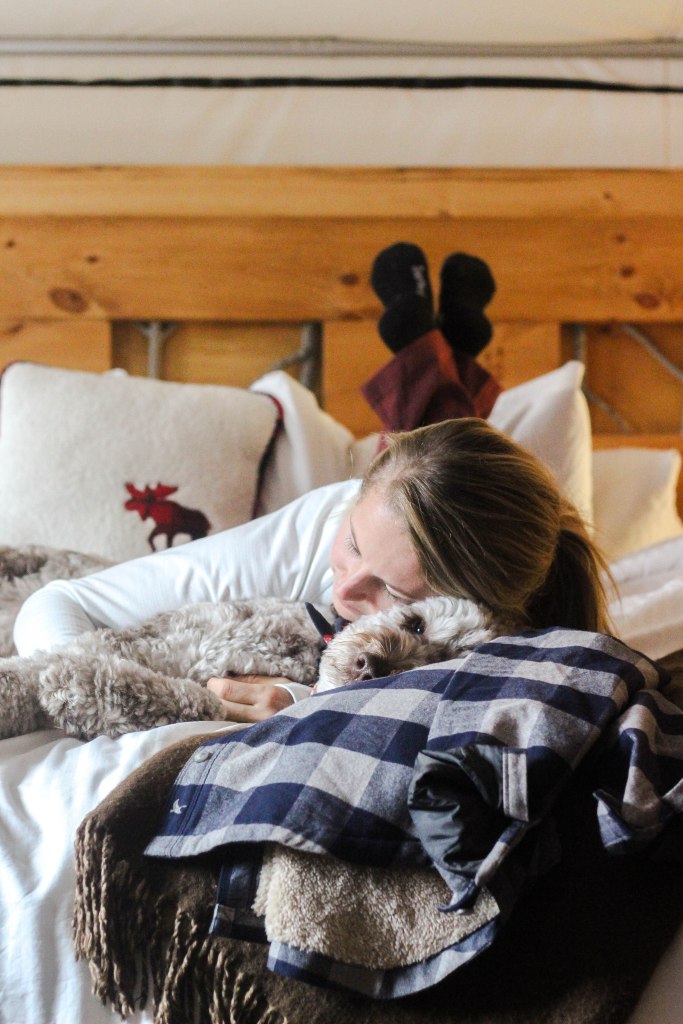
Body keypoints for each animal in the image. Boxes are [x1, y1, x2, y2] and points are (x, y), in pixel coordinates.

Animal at [0, 595, 502, 742]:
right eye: (415, 624)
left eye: (435, 664)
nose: (369, 666)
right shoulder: (160, 643)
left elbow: (184, 701)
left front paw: (79, 688)